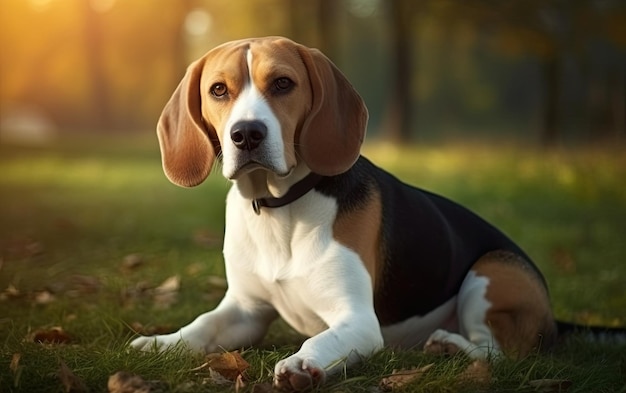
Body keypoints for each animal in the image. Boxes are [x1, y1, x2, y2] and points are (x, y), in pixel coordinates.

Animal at [129, 36, 564, 388]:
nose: (247, 134)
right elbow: (202, 326)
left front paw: (302, 363)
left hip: (491, 272)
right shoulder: (245, 312)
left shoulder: (357, 321)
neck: (281, 207)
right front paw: (161, 343)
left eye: (283, 83)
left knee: (498, 354)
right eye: (218, 90)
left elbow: (323, 338)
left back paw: (450, 347)